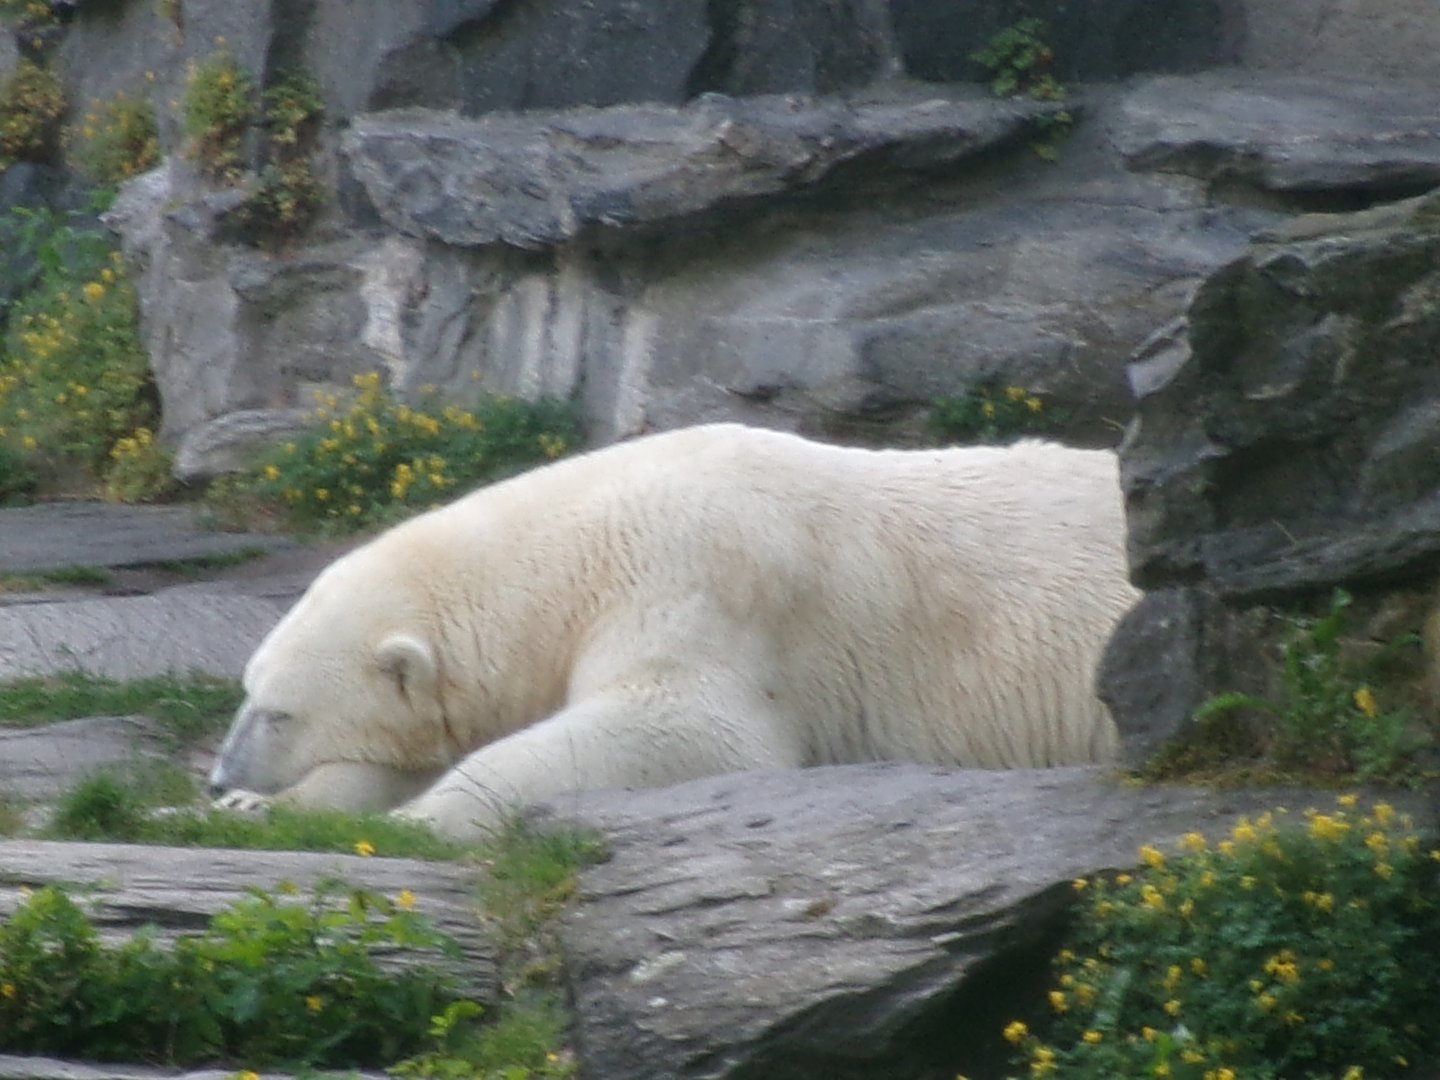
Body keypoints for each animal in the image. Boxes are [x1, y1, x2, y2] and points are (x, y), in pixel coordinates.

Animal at [208, 422, 1140, 841]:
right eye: (247, 693)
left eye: (280, 713)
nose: (219, 777)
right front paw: (271, 808)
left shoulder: (696, 586)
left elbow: (682, 727)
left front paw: (420, 821)